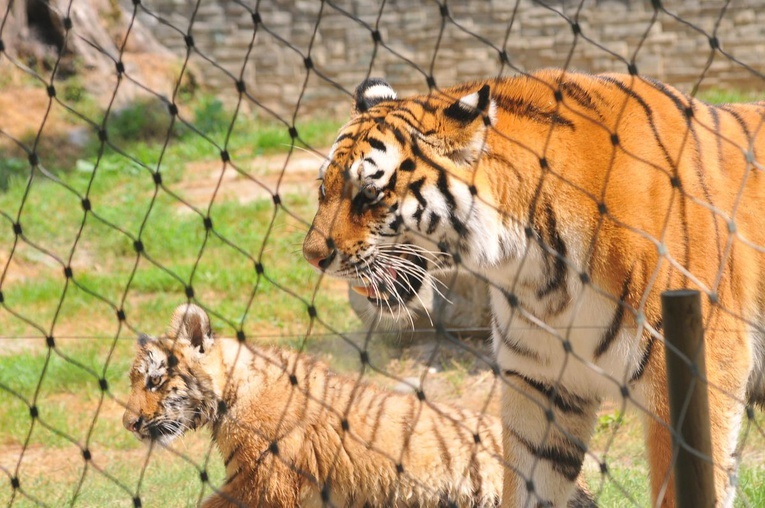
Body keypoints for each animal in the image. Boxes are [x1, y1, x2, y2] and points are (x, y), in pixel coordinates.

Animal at [304, 68, 764, 508]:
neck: (537, 269)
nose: (312, 256)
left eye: (368, 194)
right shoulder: (540, 384)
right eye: (323, 188)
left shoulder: (697, 374)